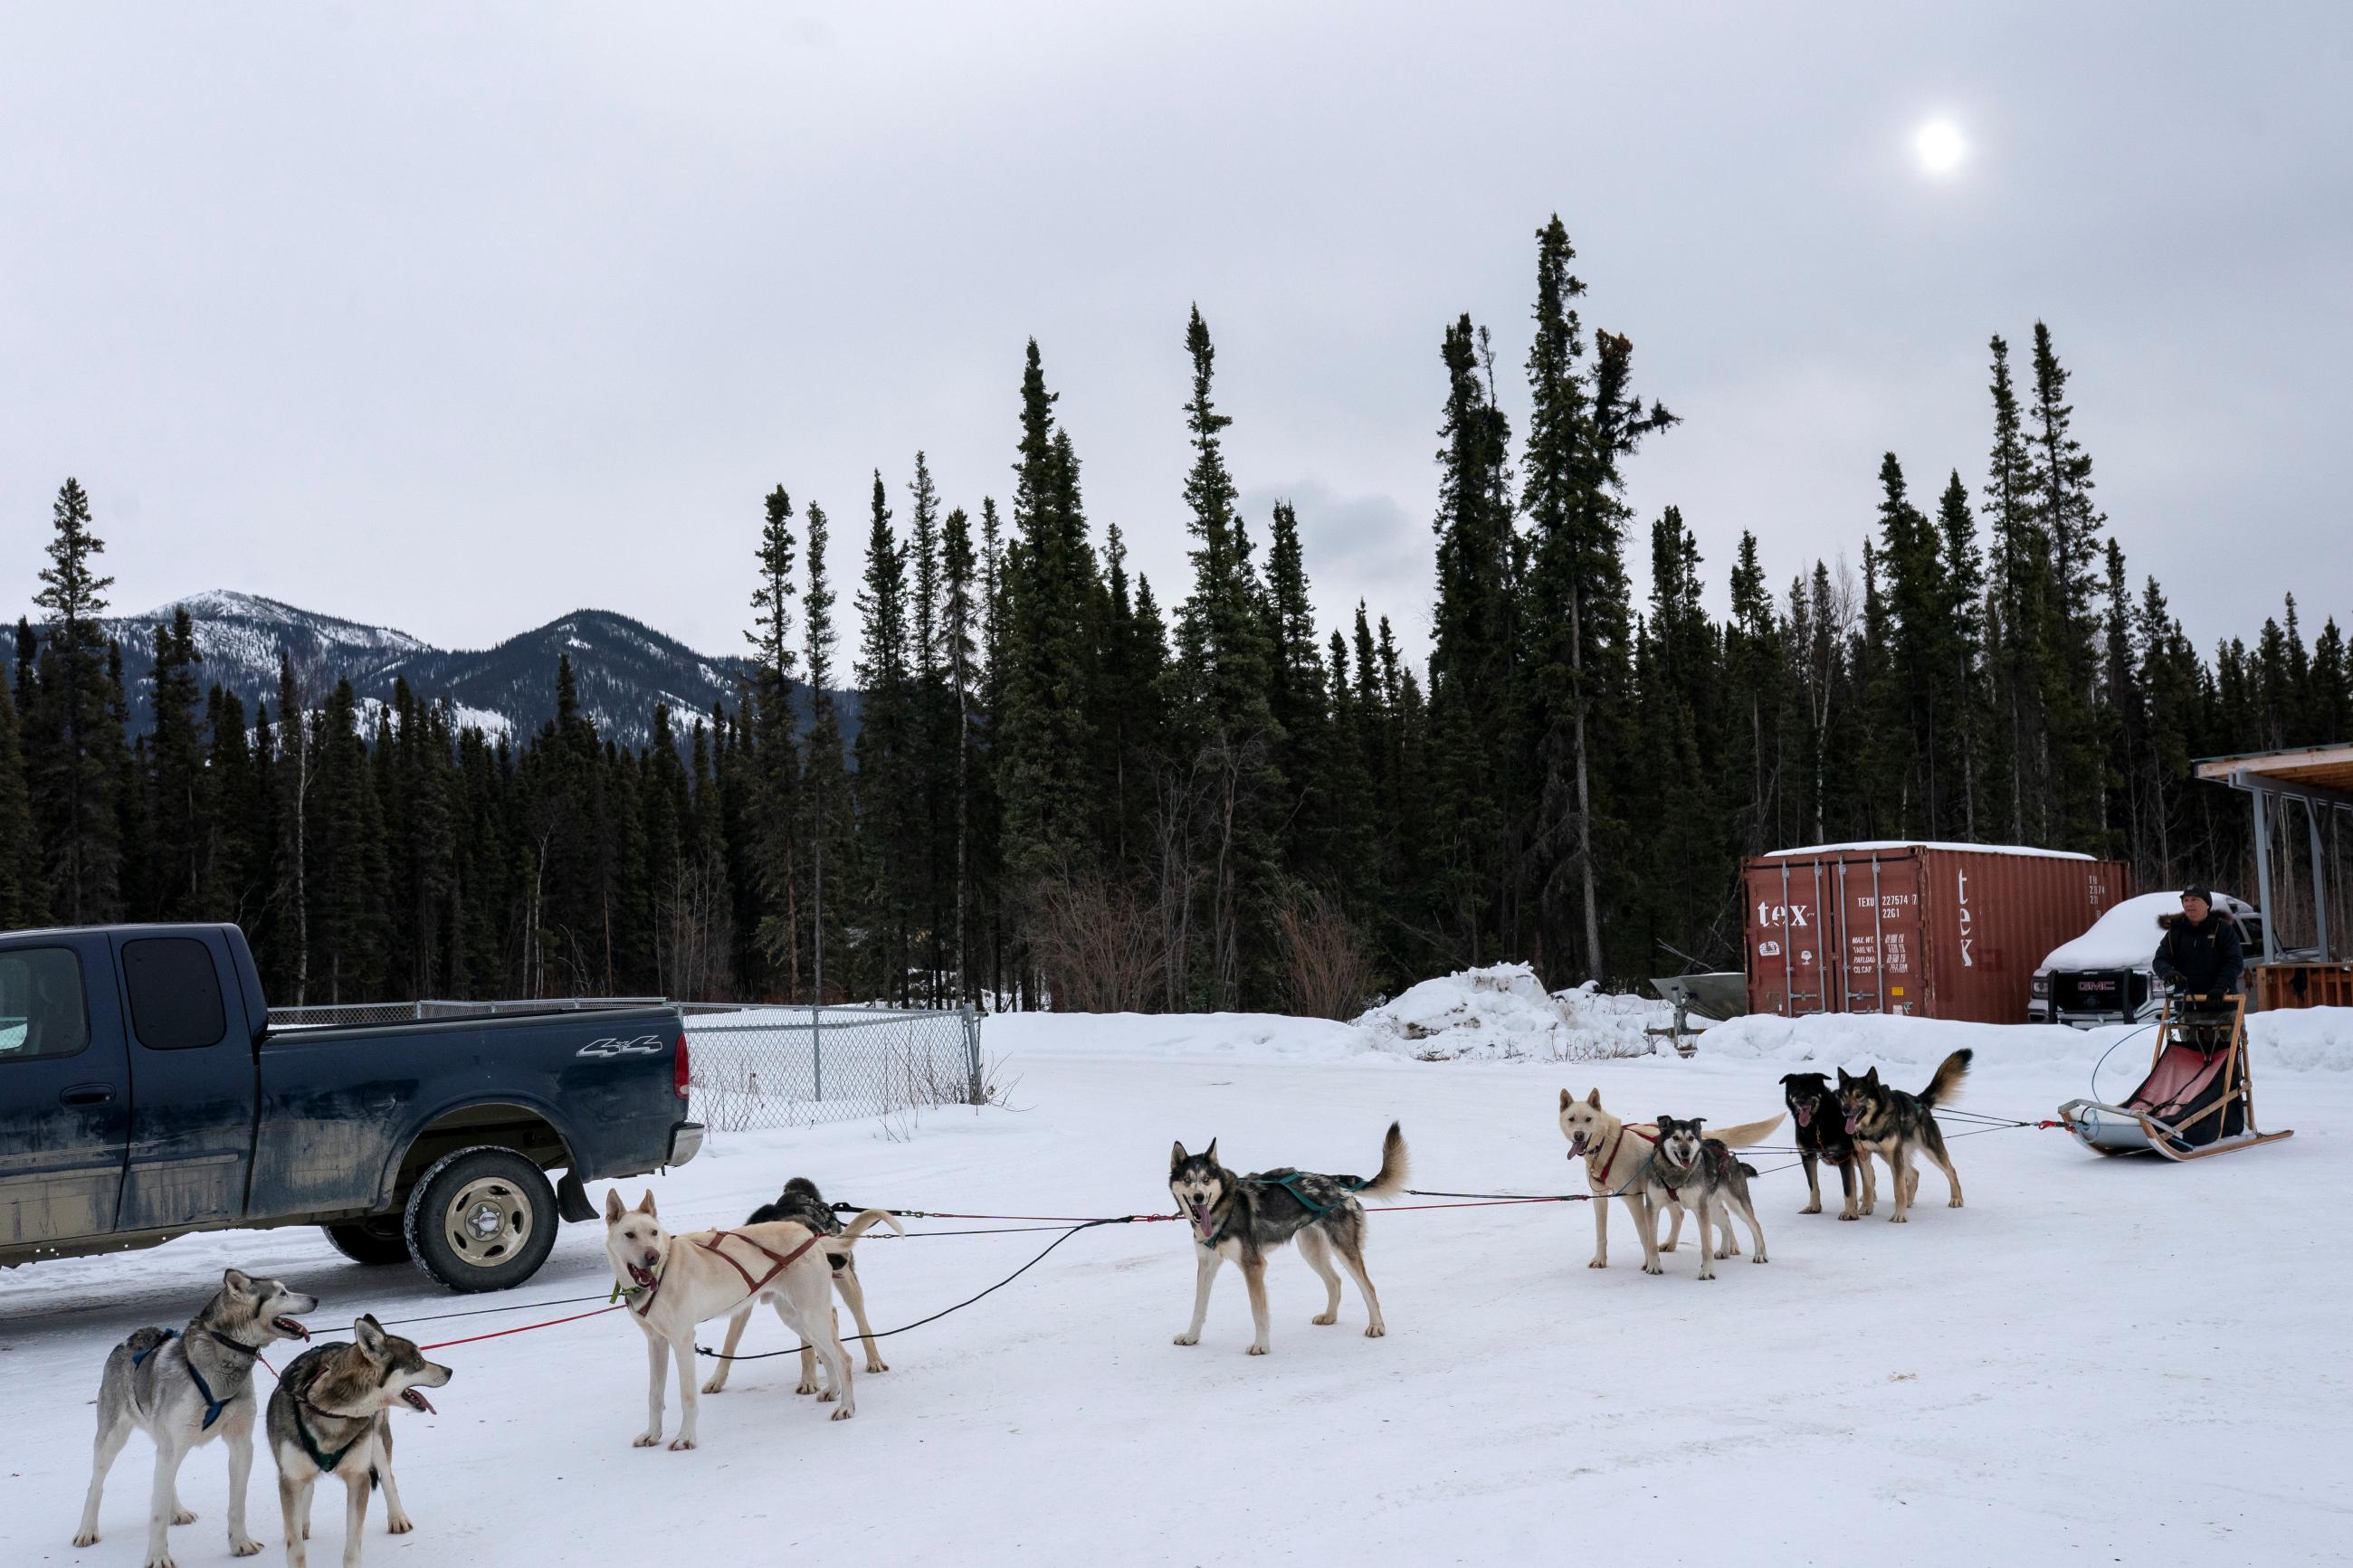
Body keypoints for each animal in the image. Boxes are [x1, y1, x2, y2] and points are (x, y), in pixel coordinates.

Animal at [1167, 1123, 1402, 1354]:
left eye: (1206, 1179)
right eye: (1187, 1179)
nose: (1199, 1196)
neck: (1224, 1208)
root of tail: (1335, 1182)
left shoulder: (1253, 1265)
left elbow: (1257, 1311)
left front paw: (1261, 1345)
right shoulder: (1207, 1264)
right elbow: (1198, 1306)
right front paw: (1191, 1336)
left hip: (1343, 1249)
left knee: (1368, 1287)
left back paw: (1376, 1326)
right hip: (1311, 1251)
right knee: (1335, 1281)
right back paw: (1330, 1316)